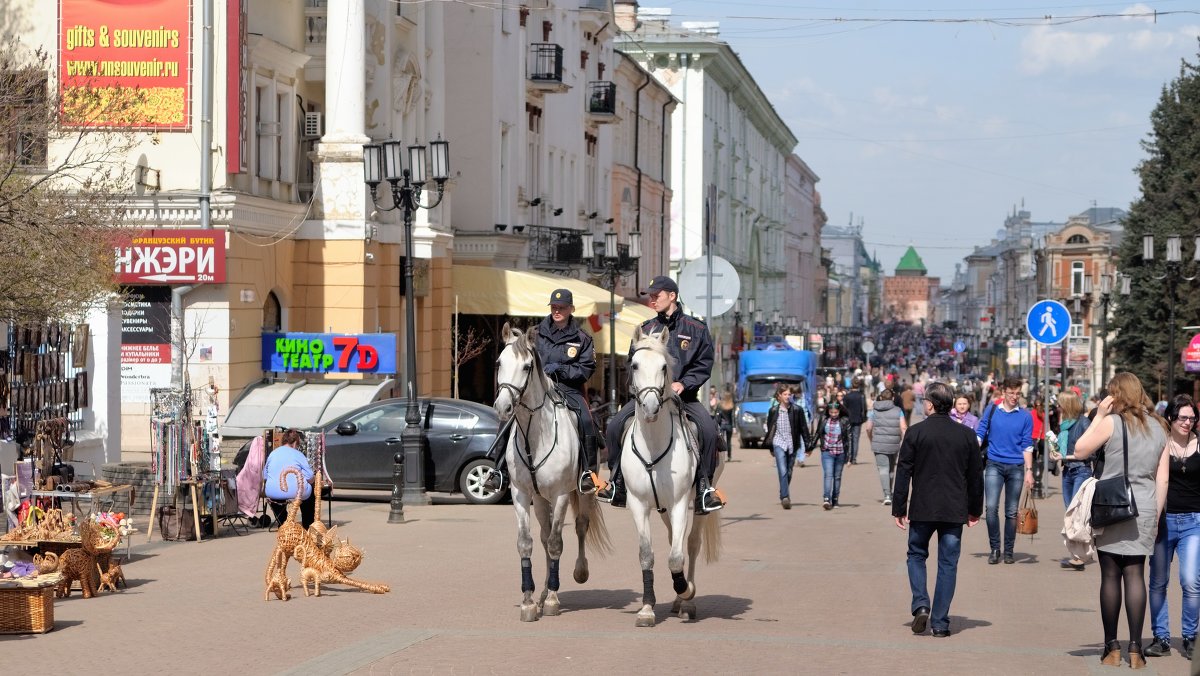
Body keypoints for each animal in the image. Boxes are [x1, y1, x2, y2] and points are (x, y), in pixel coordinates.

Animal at [494, 321, 614, 624]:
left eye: (527, 366)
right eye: (499, 362)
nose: (503, 407)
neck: (535, 436)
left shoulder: (560, 494)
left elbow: (558, 543)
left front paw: (552, 600)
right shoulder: (521, 494)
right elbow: (526, 543)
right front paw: (529, 601)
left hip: (581, 493)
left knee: (580, 526)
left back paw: (577, 573)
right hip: (540, 499)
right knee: (544, 536)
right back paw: (543, 590)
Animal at [619, 328, 720, 629]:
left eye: (664, 367)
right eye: (634, 365)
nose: (651, 408)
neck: (654, 443)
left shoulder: (679, 504)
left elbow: (676, 557)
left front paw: (686, 590)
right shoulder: (638, 504)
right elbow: (647, 555)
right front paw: (646, 608)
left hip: (696, 506)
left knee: (691, 544)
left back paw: (685, 602)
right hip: (662, 508)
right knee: (671, 538)